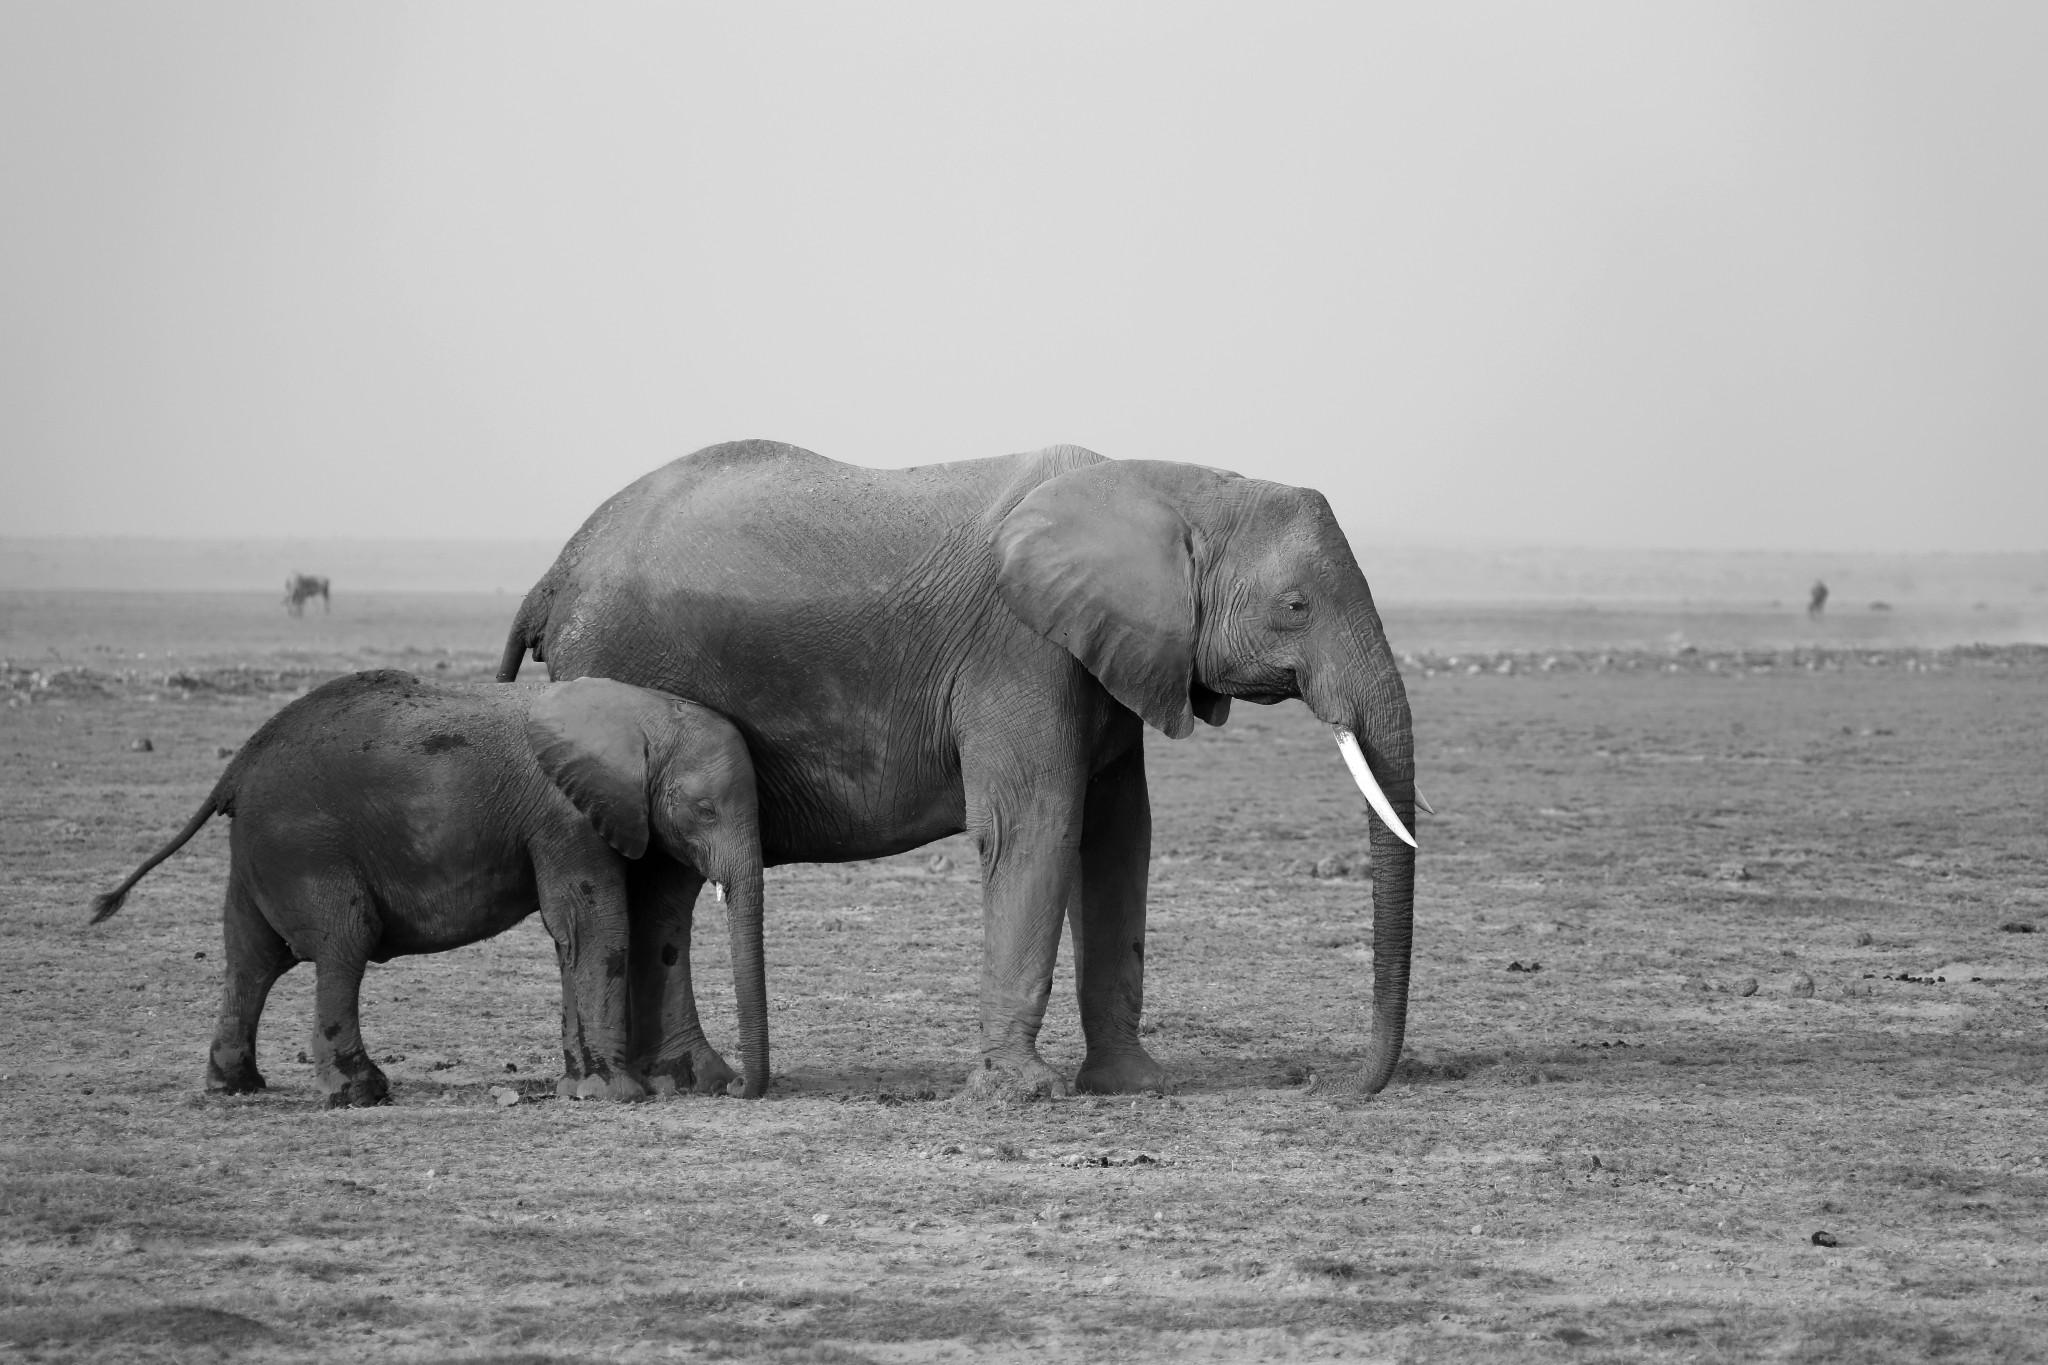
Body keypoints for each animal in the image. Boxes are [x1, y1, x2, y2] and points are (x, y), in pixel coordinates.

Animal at [83, 671, 765, 1113]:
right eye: (704, 810)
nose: (736, 1090)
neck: (640, 711)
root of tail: (237, 766)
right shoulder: (565, 816)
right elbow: (591, 924)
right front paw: (617, 1097)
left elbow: (572, 934)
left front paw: (581, 1090)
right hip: (305, 844)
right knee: (343, 939)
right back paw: (359, 1093)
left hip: (261, 850)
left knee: (250, 956)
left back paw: (236, 1086)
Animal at [503, 444, 1417, 1105]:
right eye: (1296, 606)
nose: (1343, 1088)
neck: (1164, 481)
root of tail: (553, 573)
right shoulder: (1022, 651)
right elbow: (1037, 826)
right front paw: (1027, 1094)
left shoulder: (1105, 661)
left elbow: (1120, 838)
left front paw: (1136, 1086)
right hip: (620, 669)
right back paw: (667, 1085)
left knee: (662, 887)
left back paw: (692, 1082)